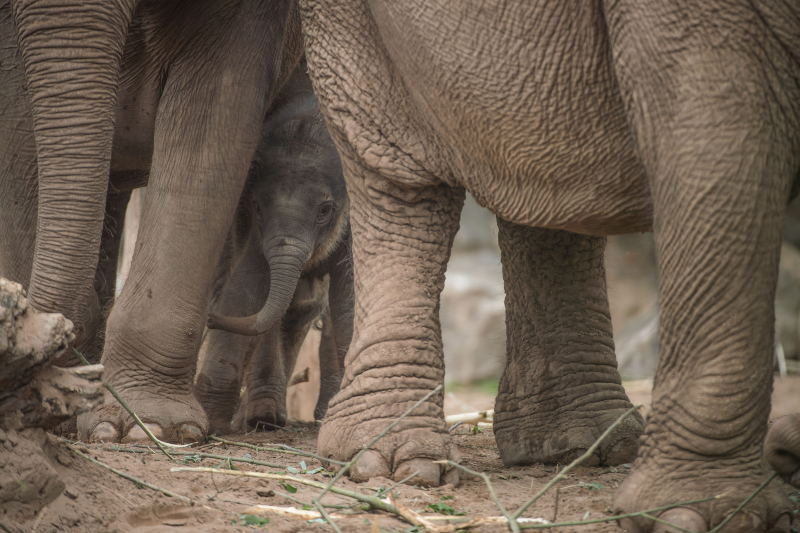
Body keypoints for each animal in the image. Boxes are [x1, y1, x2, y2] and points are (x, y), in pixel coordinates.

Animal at [196, 64, 352, 434]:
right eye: (257, 205)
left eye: (325, 210)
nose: (209, 320)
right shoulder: (251, 225)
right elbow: (246, 289)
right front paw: (212, 420)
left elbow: (349, 300)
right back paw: (262, 419)